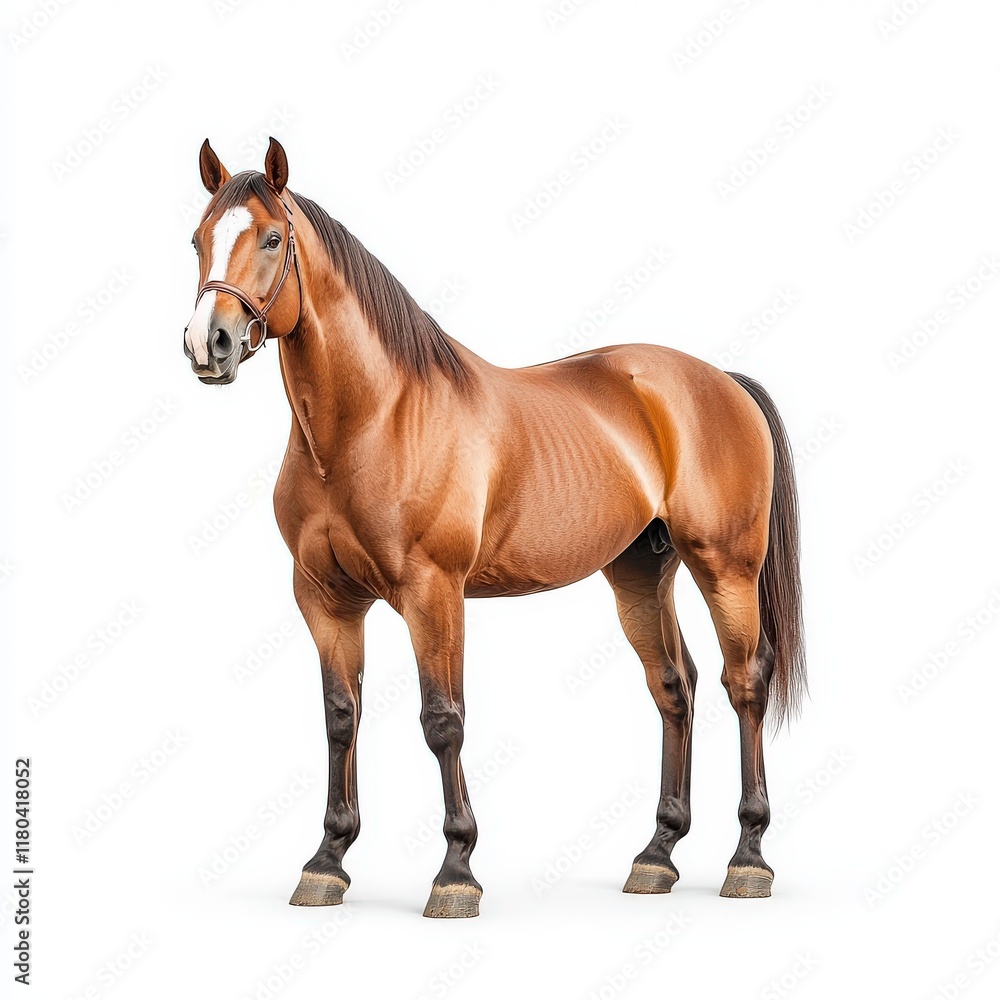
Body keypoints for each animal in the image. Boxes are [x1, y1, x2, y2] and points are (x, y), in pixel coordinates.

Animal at [182, 137, 806, 918]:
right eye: (197, 239)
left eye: (271, 238)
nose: (208, 344)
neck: (374, 420)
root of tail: (720, 380)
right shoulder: (324, 599)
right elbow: (339, 716)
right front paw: (327, 861)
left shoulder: (433, 593)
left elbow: (442, 720)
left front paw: (456, 872)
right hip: (639, 572)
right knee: (675, 687)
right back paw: (657, 855)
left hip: (725, 566)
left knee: (743, 682)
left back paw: (748, 858)